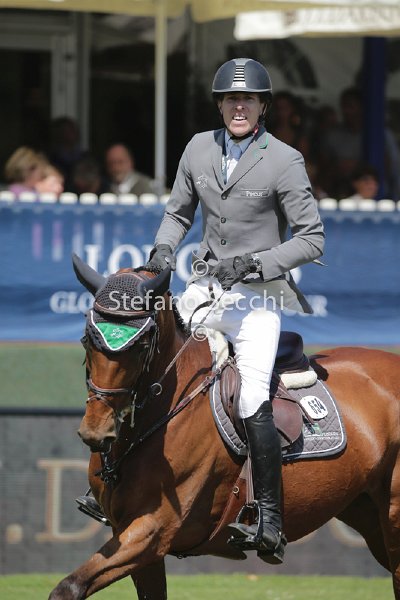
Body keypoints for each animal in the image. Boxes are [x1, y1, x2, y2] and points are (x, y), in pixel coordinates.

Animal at [49, 257, 400, 600]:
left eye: (142, 344)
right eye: (87, 339)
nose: (95, 432)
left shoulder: (152, 532)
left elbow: (69, 587)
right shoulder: (128, 536)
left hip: (393, 514)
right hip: (366, 512)